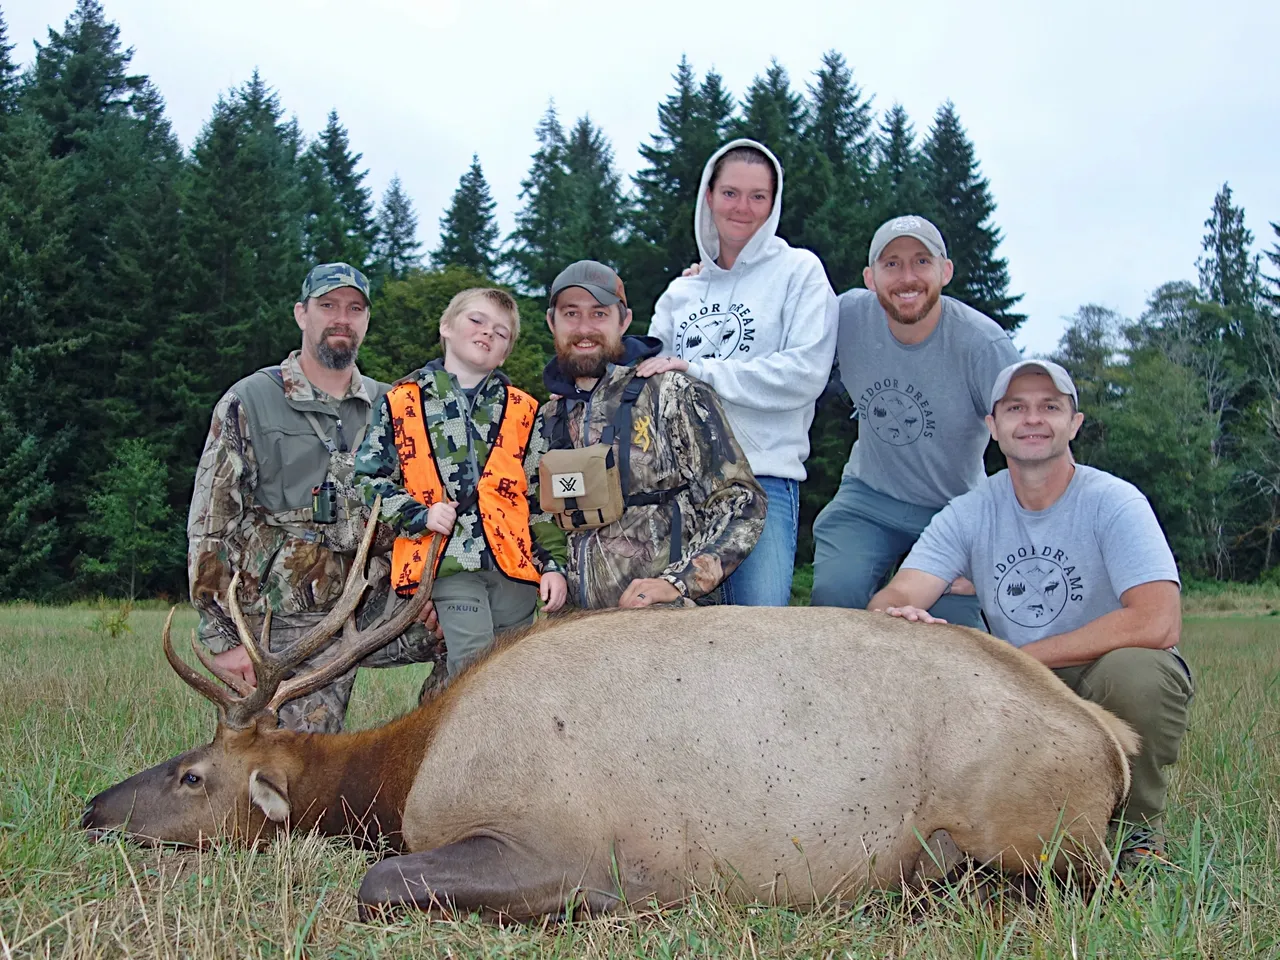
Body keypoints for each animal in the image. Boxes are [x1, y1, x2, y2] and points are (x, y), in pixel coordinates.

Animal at [83, 501, 1139, 920]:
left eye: (192, 775)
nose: (91, 810)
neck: (404, 770)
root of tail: (1112, 743)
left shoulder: (545, 834)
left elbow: (376, 880)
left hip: (1036, 837)